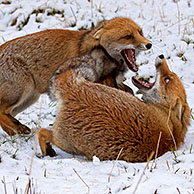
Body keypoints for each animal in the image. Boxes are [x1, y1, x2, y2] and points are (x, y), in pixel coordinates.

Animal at [0, 16, 152, 136]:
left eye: (140, 32)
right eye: (128, 36)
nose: (149, 44)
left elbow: (129, 91)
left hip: (29, 98)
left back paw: (13, 132)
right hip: (22, 91)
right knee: (2, 111)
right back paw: (18, 128)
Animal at [37, 54, 189, 162]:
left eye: (167, 79)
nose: (161, 56)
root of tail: (75, 89)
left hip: (67, 143)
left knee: (42, 133)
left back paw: (46, 151)